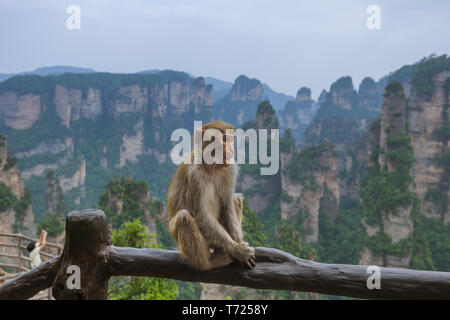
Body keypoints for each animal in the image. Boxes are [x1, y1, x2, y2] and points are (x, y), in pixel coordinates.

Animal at [168, 120, 256, 270]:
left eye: (231, 140)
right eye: (224, 139)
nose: (232, 150)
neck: (212, 166)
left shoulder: (230, 168)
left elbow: (227, 204)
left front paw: (239, 243)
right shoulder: (195, 174)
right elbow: (201, 215)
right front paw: (237, 250)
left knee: (235, 199)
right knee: (183, 217)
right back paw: (209, 263)